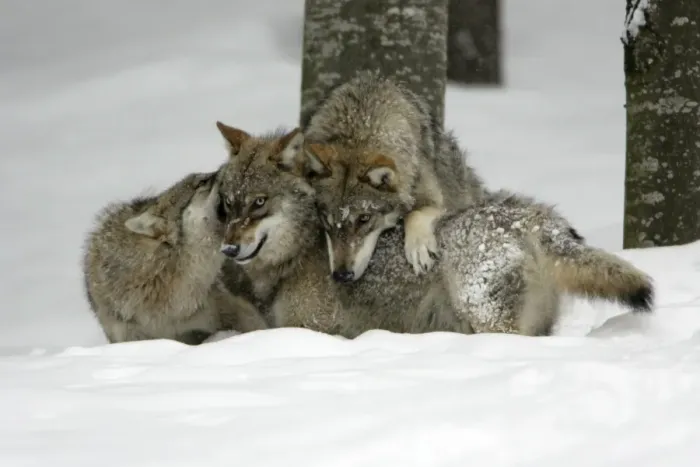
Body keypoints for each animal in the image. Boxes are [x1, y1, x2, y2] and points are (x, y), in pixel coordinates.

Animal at [302, 70, 484, 277]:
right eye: (326, 218)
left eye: (364, 219)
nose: (341, 276)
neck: (358, 127)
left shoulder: (438, 201)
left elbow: (415, 213)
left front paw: (419, 249)